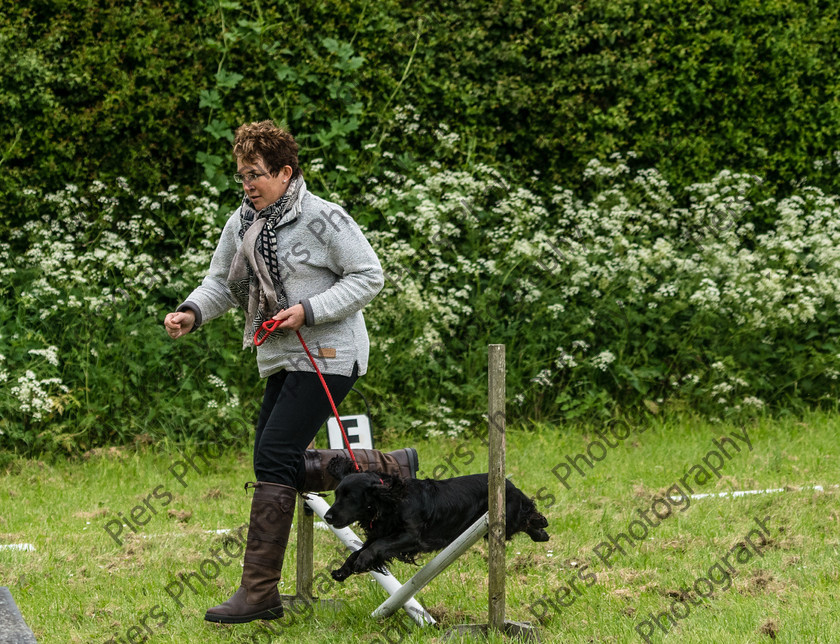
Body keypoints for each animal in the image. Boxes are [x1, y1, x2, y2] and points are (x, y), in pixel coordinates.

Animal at [322, 456, 552, 580]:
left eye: (350, 498)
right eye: (336, 494)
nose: (327, 516)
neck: (389, 502)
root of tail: (507, 483)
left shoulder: (411, 536)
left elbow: (376, 547)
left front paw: (362, 561)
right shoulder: (379, 534)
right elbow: (360, 550)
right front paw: (343, 570)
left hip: (506, 517)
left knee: (527, 515)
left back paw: (541, 529)